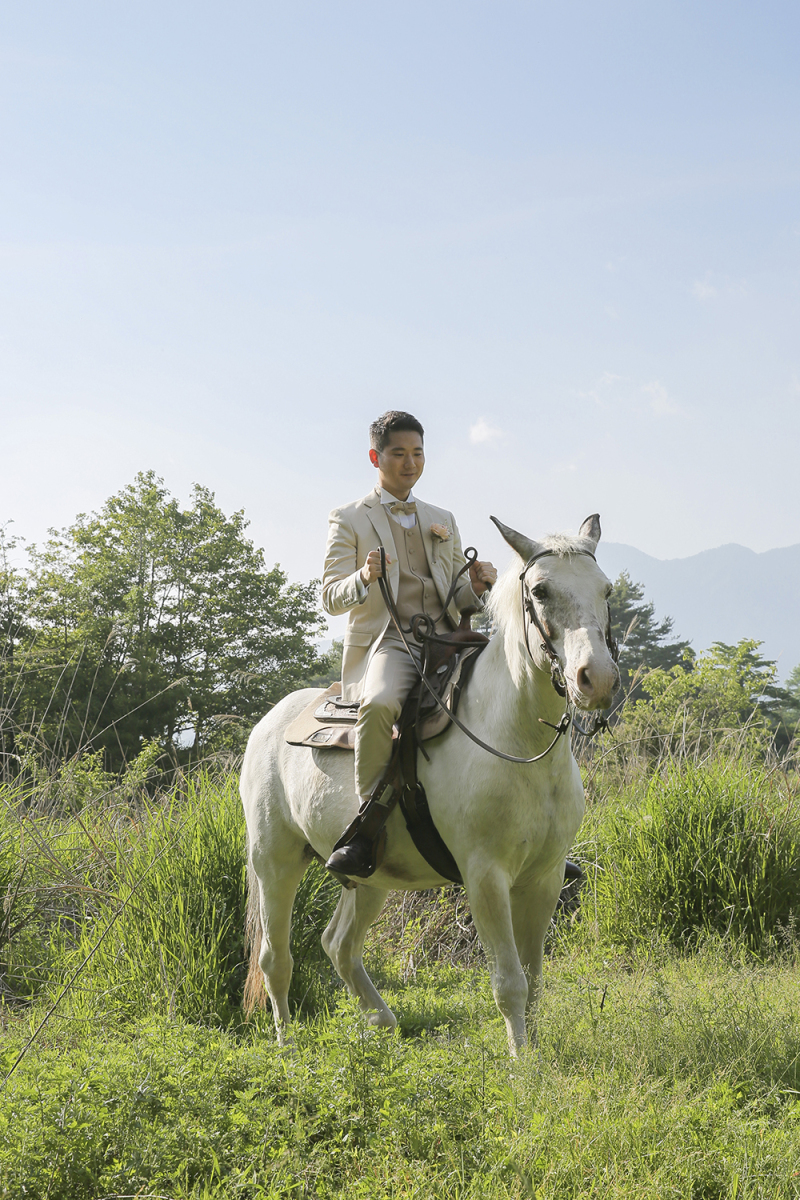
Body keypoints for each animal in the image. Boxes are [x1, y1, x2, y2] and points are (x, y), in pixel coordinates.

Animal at [240, 514, 619, 1056]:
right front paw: (520, 1063)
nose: (597, 680)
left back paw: (381, 1022)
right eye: (541, 591)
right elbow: (509, 982)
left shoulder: (544, 878)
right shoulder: (485, 877)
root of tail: (270, 721)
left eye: (606, 589)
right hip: (275, 861)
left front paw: (536, 1054)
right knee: (276, 958)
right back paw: (287, 1047)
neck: (515, 739)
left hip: (370, 876)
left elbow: (534, 979)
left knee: (340, 945)